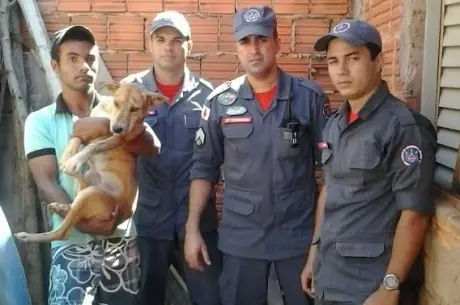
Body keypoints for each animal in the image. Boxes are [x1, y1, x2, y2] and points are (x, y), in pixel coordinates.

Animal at [14, 81, 170, 242]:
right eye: (116, 103)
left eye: (134, 109)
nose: (117, 128)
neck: (109, 114)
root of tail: (123, 213)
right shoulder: (88, 124)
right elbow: (77, 137)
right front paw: (71, 151)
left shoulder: (120, 138)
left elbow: (93, 146)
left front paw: (76, 158)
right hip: (88, 179)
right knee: (76, 190)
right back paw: (62, 203)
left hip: (90, 194)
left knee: (62, 232)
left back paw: (28, 236)